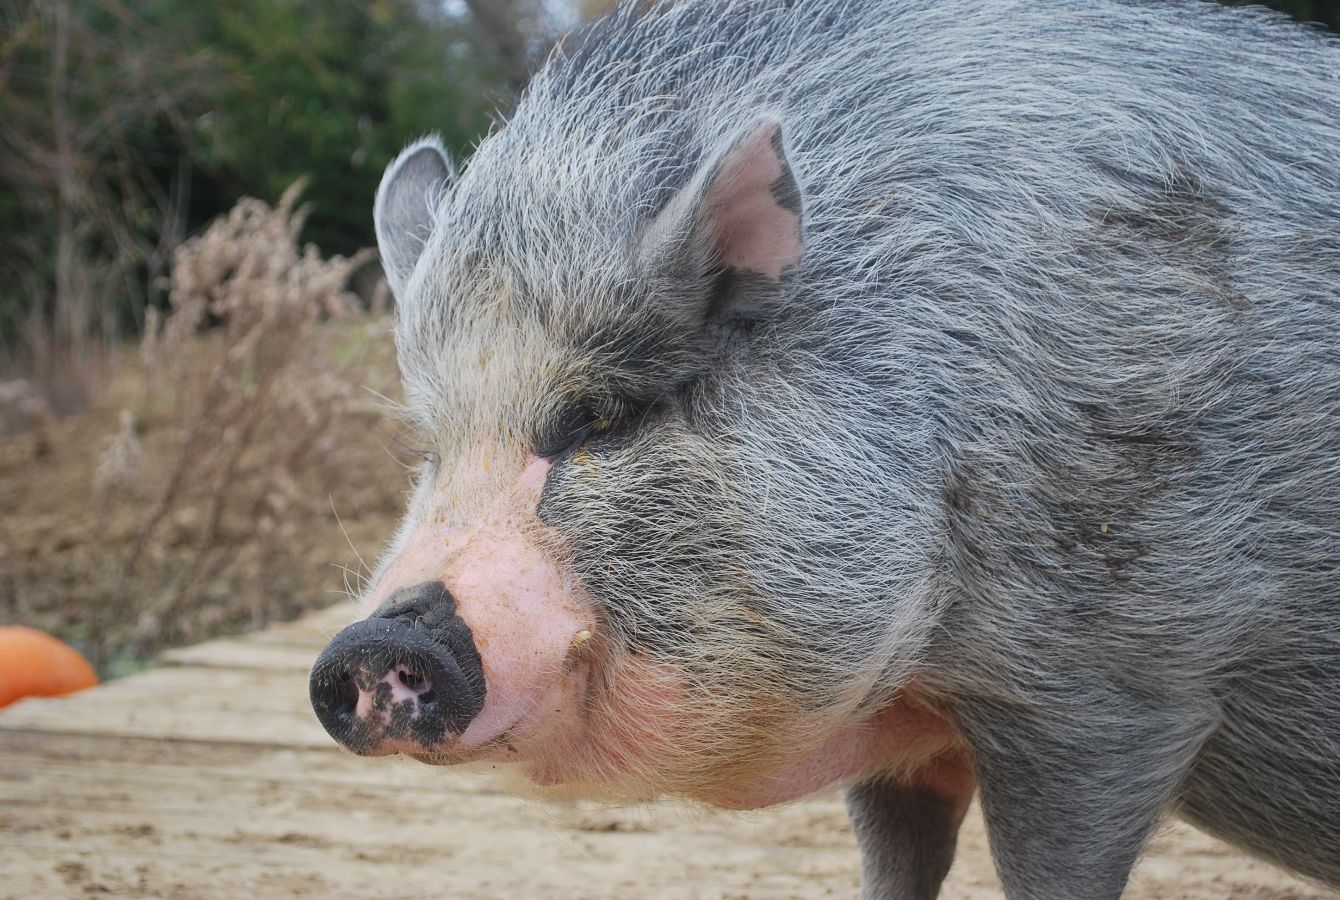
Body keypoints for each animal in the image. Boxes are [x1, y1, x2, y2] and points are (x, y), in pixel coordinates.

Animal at [309, 0, 1340, 896]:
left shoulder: (1115, 685)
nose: (370, 639)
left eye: (599, 419)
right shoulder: (912, 735)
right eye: (431, 448)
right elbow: (896, 857)